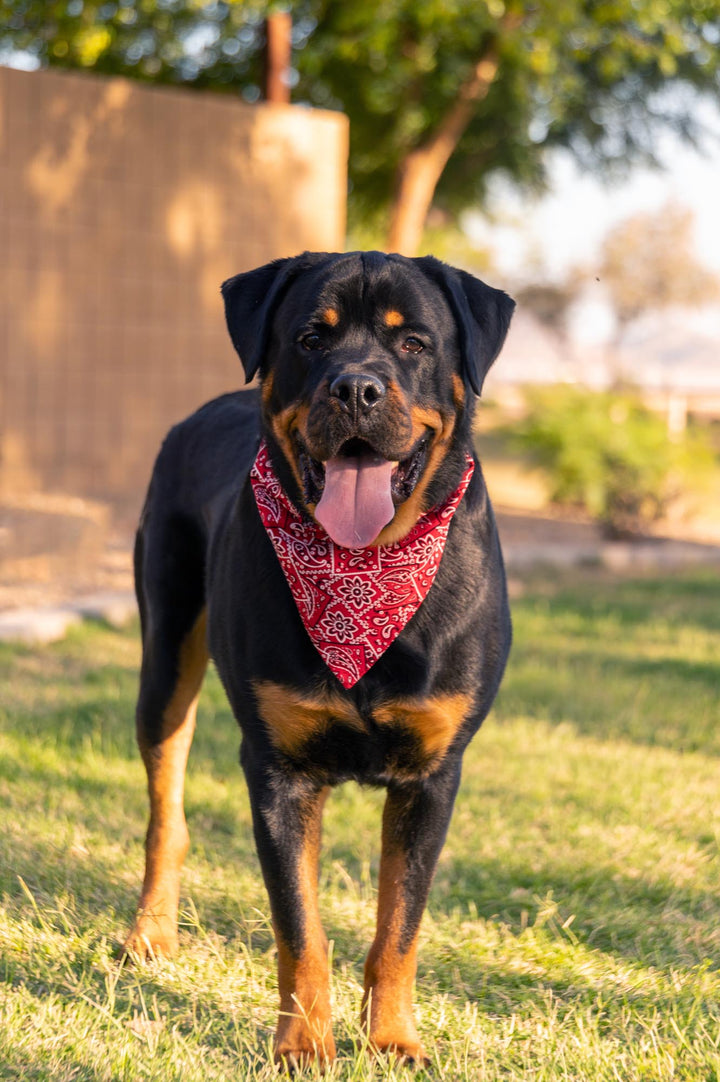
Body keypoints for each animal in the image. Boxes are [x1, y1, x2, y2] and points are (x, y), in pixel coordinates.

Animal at [125, 251, 517, 1064]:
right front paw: (305, 1045)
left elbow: (399, 924)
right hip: (165, 661)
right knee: (165, 810)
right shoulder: (278, 770)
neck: (362, 570)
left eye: (414, 343)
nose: (356, 386)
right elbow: (298, 924)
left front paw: (393, 1038)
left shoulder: (433, 776)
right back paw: (149, 933)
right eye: (312, 337)